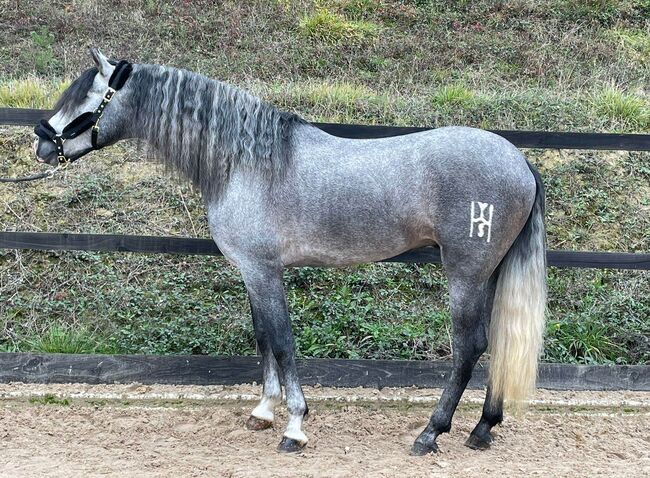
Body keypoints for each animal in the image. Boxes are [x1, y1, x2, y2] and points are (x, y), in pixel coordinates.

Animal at [33, 49, 544, 456]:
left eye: (84, 98)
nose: (41, 143)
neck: (246, 162)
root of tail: (520, 161)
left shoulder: (264, 271)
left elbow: (281, 341)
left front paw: (295, 427)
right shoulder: (252, 273)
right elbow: (263, 338)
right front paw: (263, 411)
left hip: (465, 273)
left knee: (468, 346)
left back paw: (430, 433)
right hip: (488, 273)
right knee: (496, 342)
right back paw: (482, 428)